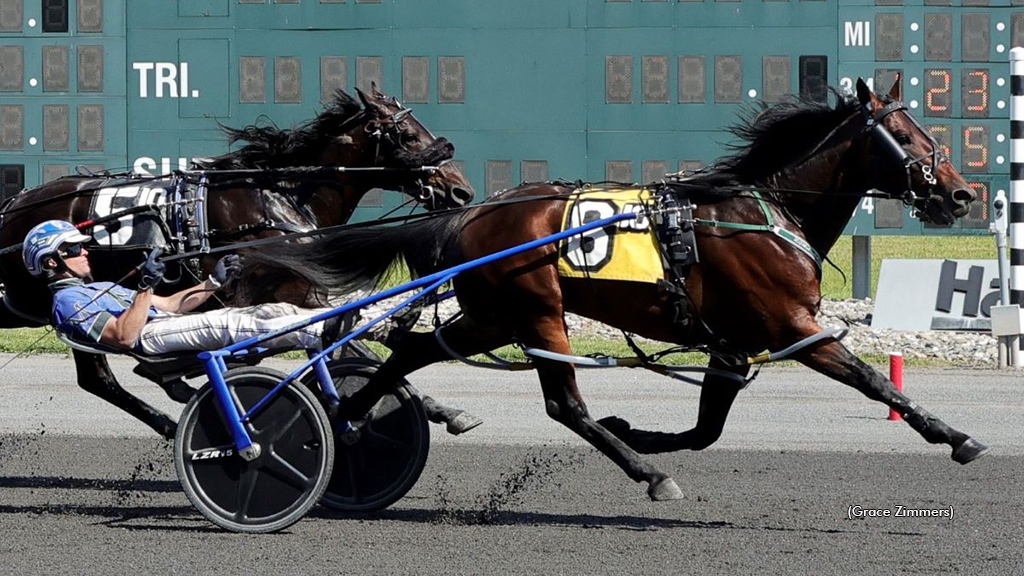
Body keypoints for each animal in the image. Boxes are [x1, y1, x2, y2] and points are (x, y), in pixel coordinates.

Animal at [0, 84, 471, 434]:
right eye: (408, 135)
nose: (460, 190)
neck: (277, 198)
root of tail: (15, 204)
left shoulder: (300, 292)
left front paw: (437, 404)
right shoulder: (273, 294)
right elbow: (342, 341)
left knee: (100, 378)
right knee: (98, 378)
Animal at [243, 78, 987, 500]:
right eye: (905, 134)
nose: (961, 193)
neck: (763, 211)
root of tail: (468, 213)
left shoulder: (733, 342)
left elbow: (707, 428)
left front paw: (643, 431)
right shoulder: (792, 328)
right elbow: (876, 381)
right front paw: (956, 436)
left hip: (492, 315)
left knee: (413, 351)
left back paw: (350, 416)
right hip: (537, 311)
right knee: (563, 405)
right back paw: (647, 476)